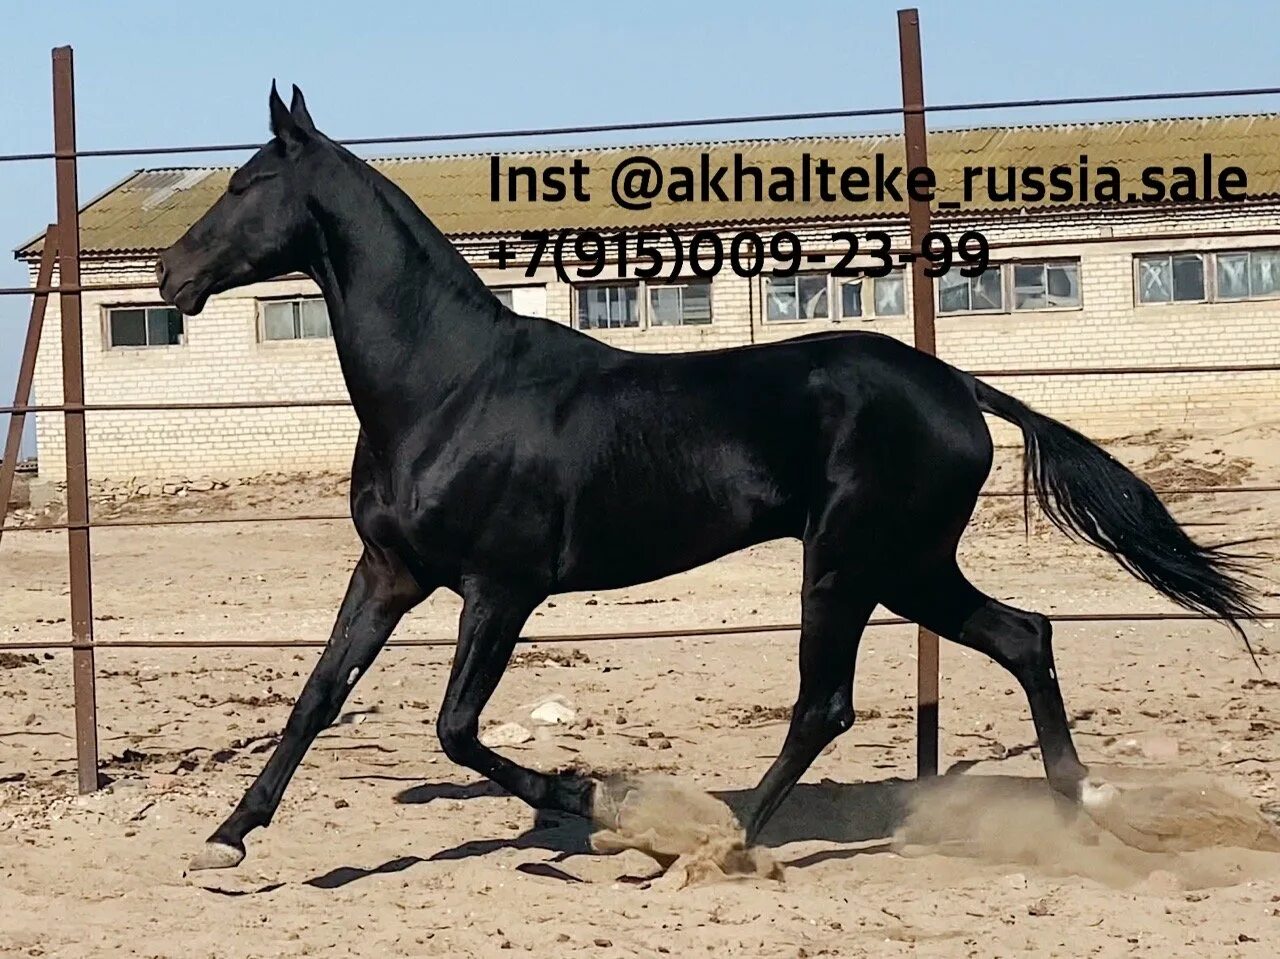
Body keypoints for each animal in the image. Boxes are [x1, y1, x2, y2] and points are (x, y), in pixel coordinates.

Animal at [154, 83, 1262, 871]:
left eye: (244, 185)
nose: (169, 276)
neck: (450, 386)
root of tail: (955, 386)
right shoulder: (389, 570)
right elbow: (316, 696)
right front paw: (227, 837)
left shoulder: (500, 588)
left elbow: (455, 727)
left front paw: (591, 799)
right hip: (907, 566)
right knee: (1025, 636)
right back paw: (1083, 811)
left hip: (848, 563)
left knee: (826, 704)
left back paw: (717, 844)